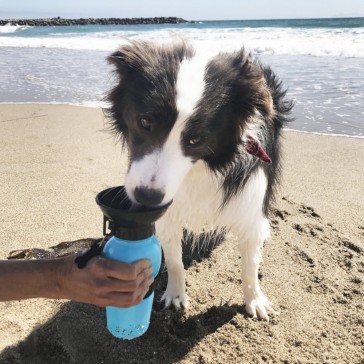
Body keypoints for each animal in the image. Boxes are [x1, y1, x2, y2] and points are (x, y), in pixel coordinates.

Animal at [106, 41, 292, 322]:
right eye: (145, 121)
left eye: (195, 139)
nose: (147, 197)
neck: (202, 169)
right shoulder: (168, 211)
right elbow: (174, 260)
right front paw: (175, 295)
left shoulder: (251, 204)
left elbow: (250, 263)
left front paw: (255, 300)